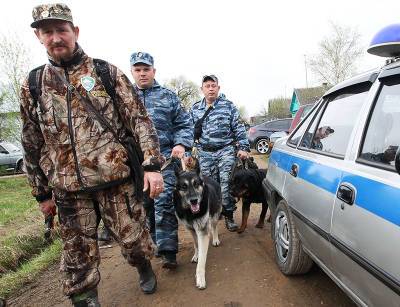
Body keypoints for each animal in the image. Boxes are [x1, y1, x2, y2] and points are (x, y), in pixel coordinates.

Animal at [173, 160, 222, 290]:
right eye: (184, 186)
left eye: (196, 184)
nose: (194, 200)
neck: (190, 213)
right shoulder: (191, 229)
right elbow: (196, 244)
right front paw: (196, 255)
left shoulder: (202, 232)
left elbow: (201, 261)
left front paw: (200, 278)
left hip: (215, 214)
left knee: (214, 226)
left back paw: (215, 239)